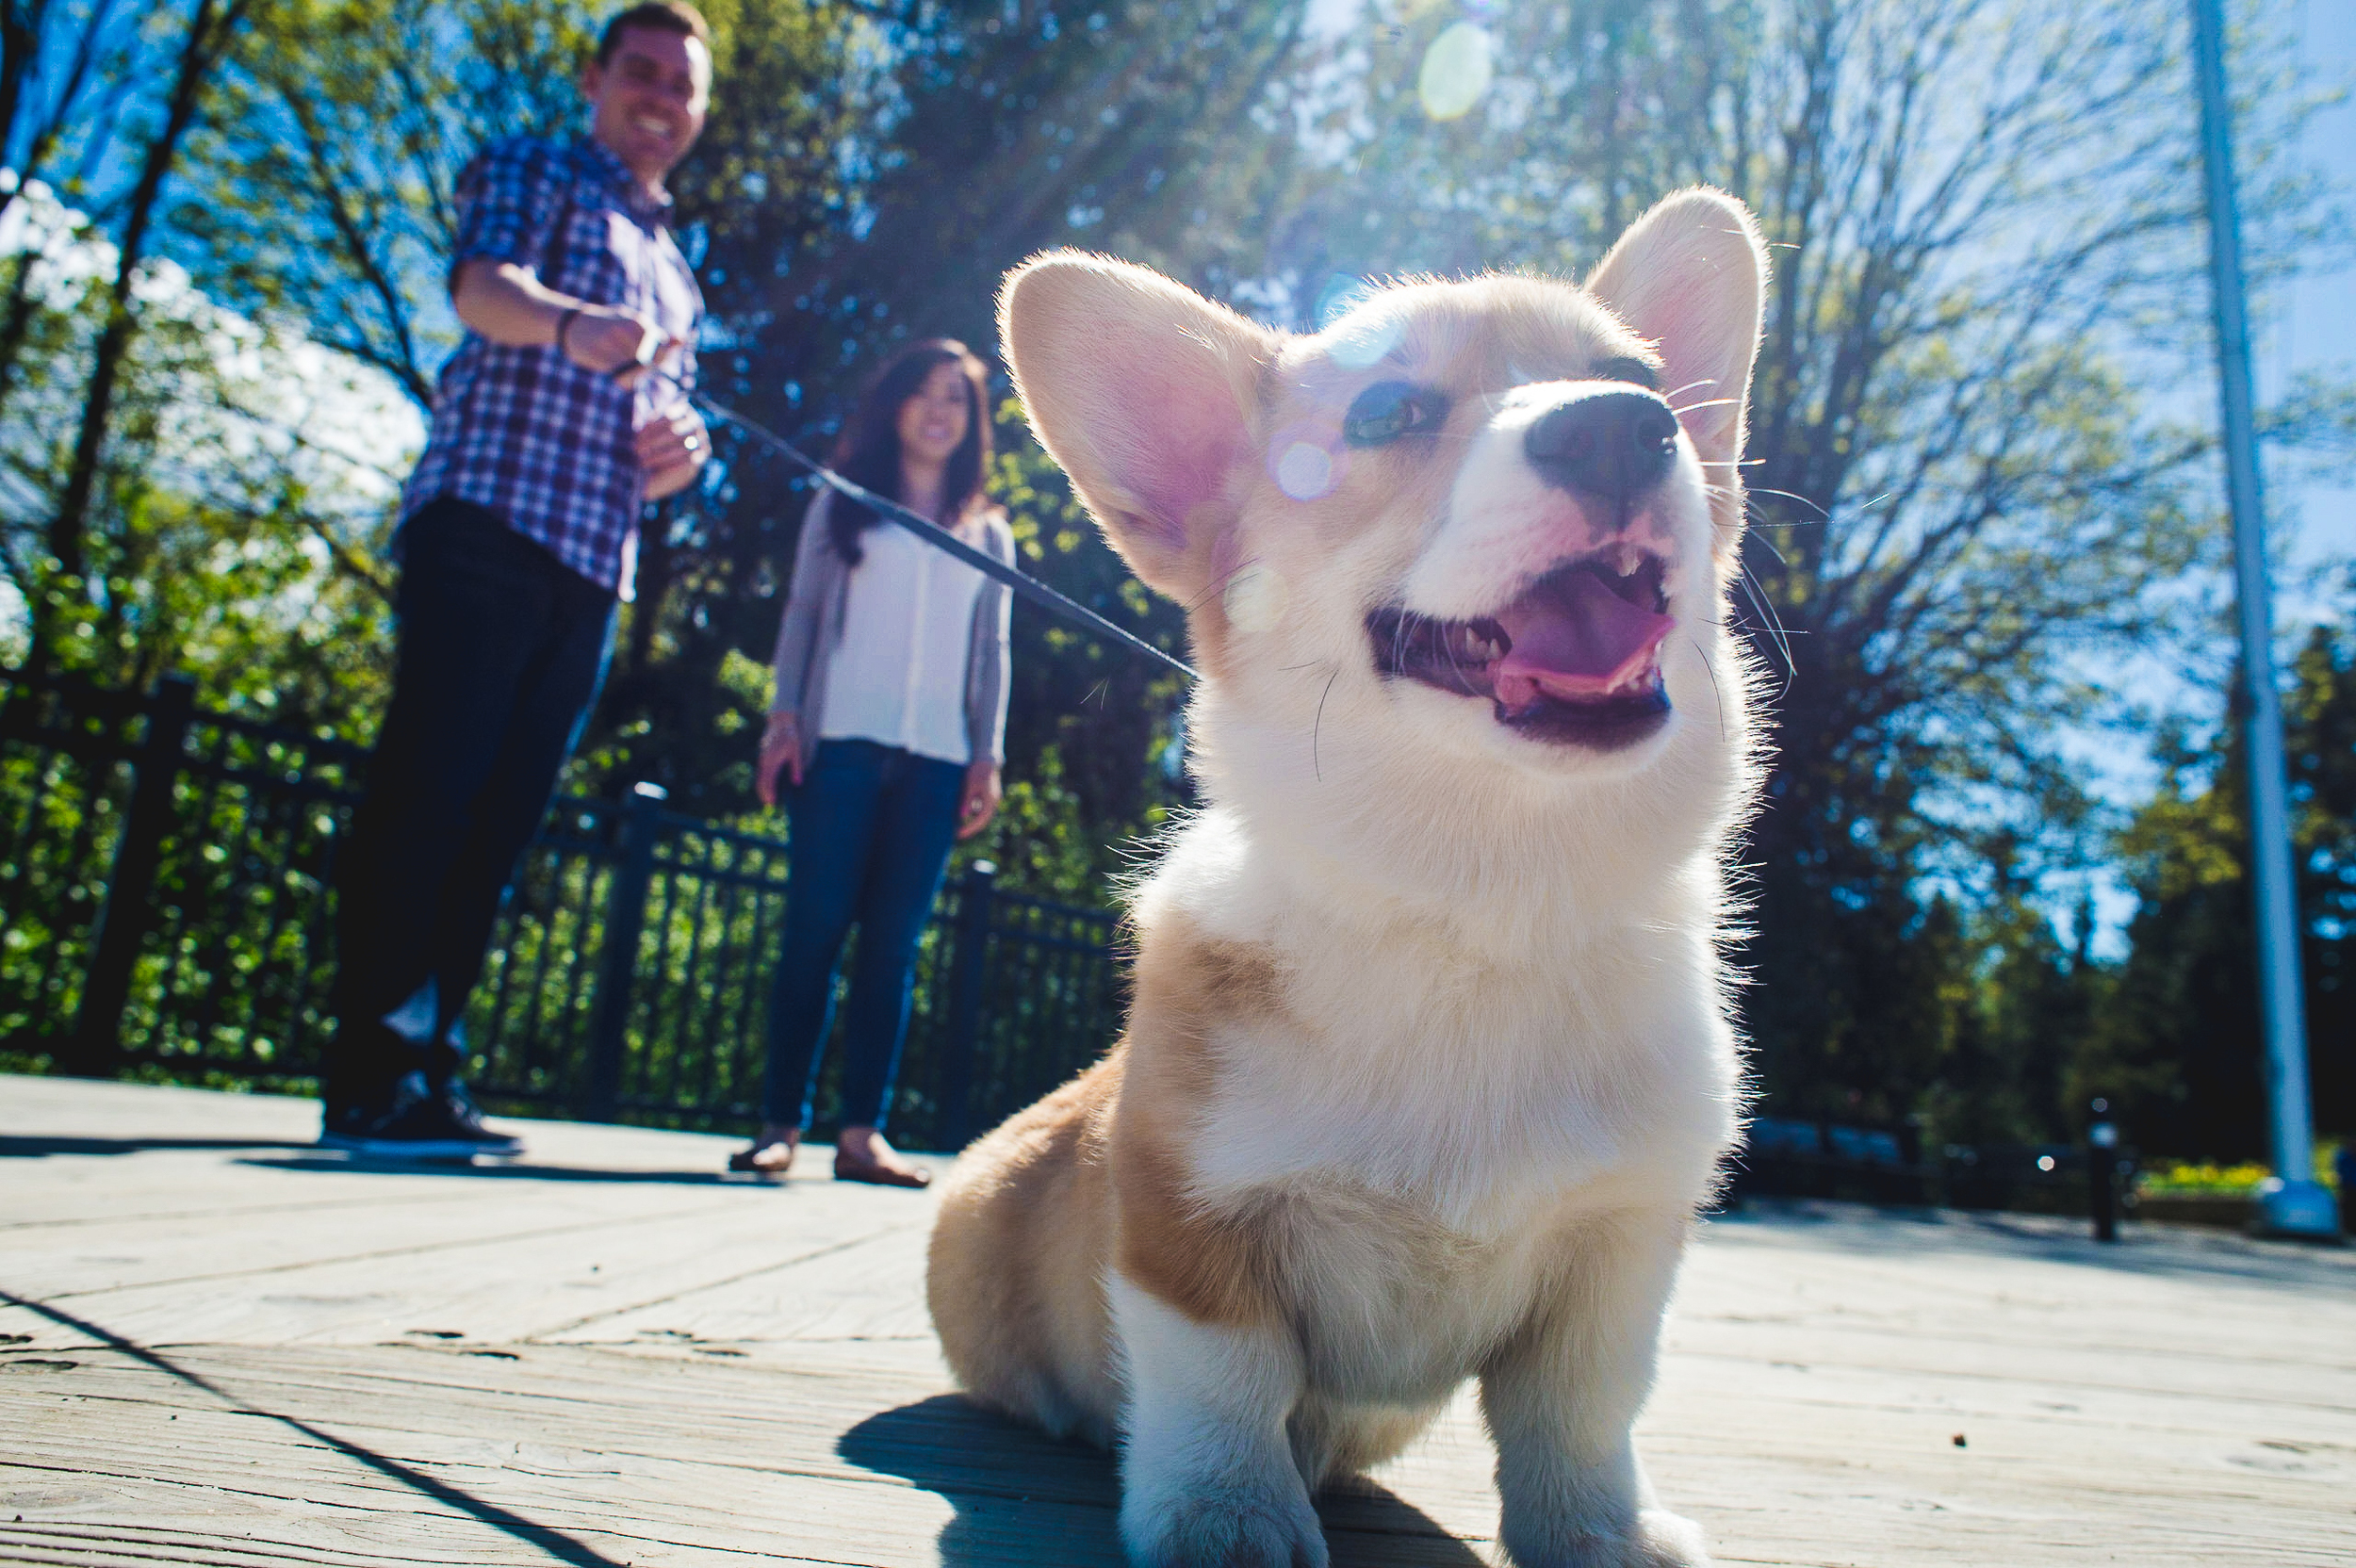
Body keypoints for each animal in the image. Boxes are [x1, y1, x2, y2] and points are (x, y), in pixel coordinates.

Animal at [919, 186, 1772, 1563]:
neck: (1479, 896)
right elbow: (1223, 1373)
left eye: (1642, 381)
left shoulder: (1620, 1241)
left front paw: (1601, 1535)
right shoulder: (1185, 1210)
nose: (1620, 428)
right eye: (1387, 413)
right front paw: (1223, 1514)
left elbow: (1580, 1411)